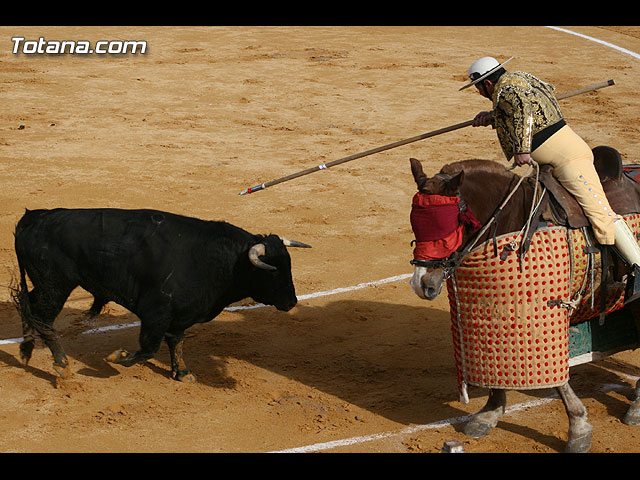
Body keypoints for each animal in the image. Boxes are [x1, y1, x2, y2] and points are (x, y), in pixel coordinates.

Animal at [12, 208, 310, 382]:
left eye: (289, 265)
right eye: (272, 272)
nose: (292, 302)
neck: (222, 260)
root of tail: (32, 219)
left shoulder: (179, 315)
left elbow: (176, 342)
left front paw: (183, 372)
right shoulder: (156, 311)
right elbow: (149, 347)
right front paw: (118, 357)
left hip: (43, 285)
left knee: (28, 307)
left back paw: (26, 351)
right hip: (55, 285)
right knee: (43, 319)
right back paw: (61, 366)